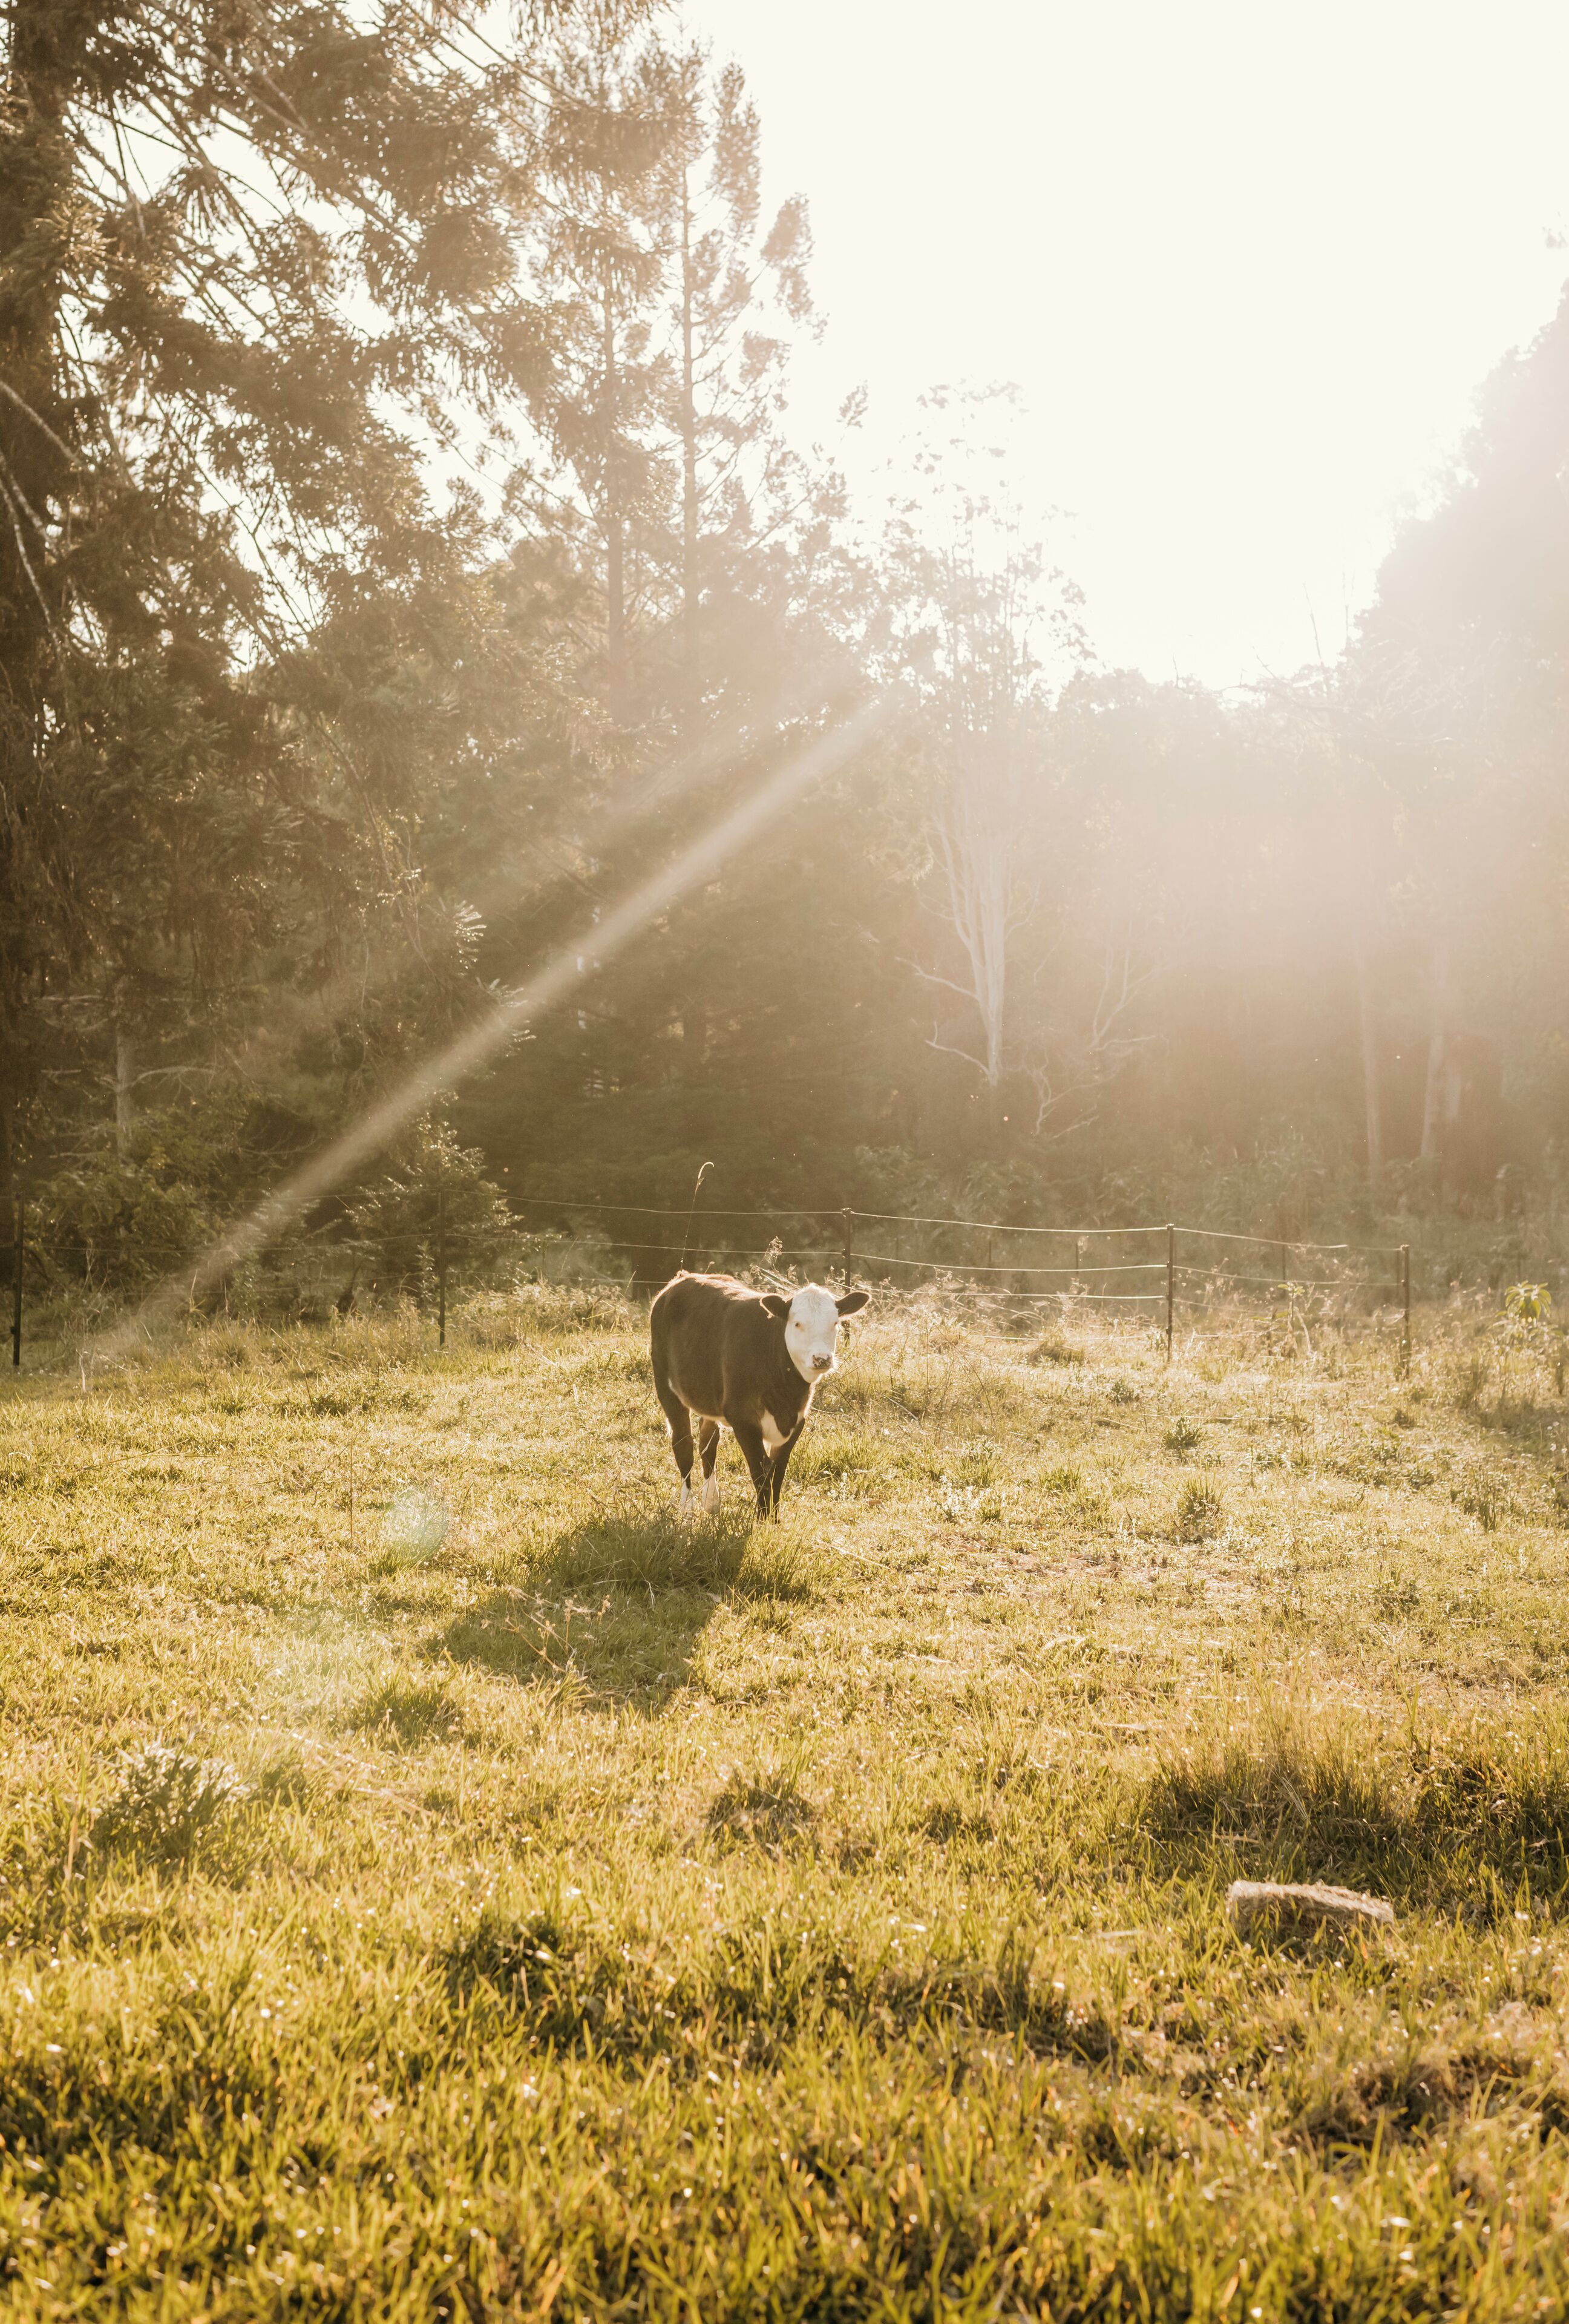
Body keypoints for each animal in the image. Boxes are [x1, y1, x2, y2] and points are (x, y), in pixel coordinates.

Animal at [649, 1272, 870, 1517]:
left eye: (835, 1323)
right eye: (797, 1324)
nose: (822, 1359)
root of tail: (684, 1277)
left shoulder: (798, 1420)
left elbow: (777, 1473)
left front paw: (773, 1519)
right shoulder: (743, 1419)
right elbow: (760, 1472)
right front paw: (763, 1517)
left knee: (708, 1442)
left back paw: (711, 1502)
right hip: (666, 1387)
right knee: (683, 1444)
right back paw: (686, 1506)